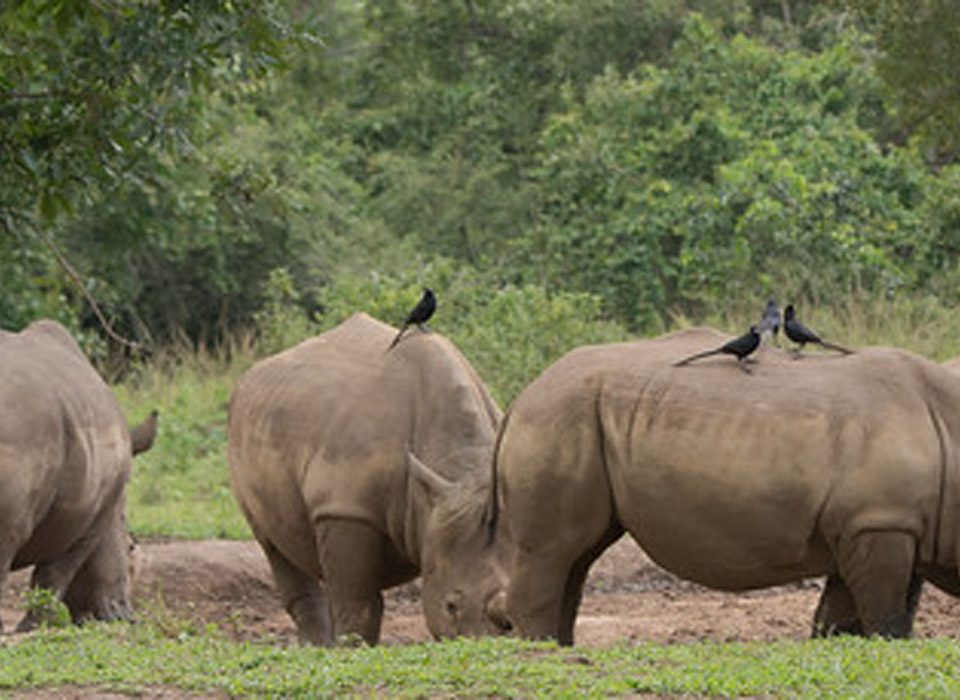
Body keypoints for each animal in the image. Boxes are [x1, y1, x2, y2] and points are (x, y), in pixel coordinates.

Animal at [0, 320, 157, 632]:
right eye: (130, 547)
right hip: (21, 429)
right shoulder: (91, 519)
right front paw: (34, 627)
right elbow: (55, 574)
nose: (126, 617)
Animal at [228, 312, 510, 645]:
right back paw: (317, 647)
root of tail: (246, 378)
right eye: (450, 606)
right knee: (273, 544)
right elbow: (359, 603)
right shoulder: (345, 506)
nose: (488, 641)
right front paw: (353, 647)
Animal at [494, 327, 960, 644]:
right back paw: (541, 649)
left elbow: (846, 620)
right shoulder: (879, 522)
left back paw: (560, 647)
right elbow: (885, 617)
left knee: (578, 558)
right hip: (557, 418)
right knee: (553, 552)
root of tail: (520, 399)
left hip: (576, 418)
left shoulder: (875, 525)